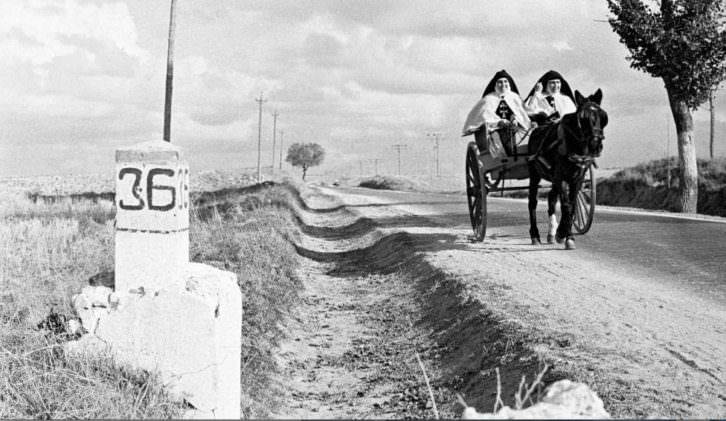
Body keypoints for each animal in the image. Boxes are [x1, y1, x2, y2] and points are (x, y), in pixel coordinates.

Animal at [528, 87, 608, 248]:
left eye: (603, 117)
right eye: (582, 118)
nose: (595, 145)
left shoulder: (578, 177)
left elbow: (572, 206)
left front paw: (568, 236)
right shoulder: (560, 176)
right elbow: (567, 205)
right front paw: (561, 234)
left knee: (551, 199)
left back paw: (551, 234)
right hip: (535, 174)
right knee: (532, 202)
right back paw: (535, 235)